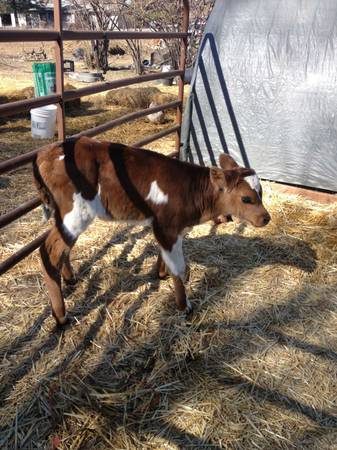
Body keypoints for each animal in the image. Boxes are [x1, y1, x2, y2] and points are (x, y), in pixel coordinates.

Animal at [32, 135, 270, 326]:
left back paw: (70, 279)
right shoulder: (166, 225)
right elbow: (179, 268)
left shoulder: (172, 227)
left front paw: (161, 274)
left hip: (63, 214)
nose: (266, 218)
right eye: (246, 198)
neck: (192, 193)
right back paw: (61, 316)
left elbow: (165, 257)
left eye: (261, 192)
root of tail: (45, 153)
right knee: (48, 251)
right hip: (76, 212)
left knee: (60, 248)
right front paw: (184, 306)